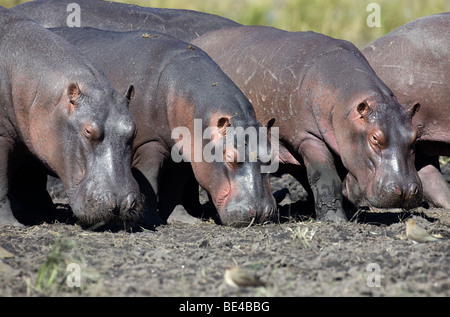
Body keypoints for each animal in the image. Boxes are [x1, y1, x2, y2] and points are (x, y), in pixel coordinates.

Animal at [51, 26, 278, 225]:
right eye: (230, 157)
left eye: (271, 156)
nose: (260, 212)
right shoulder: (148, 145)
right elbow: (150, 181)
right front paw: (150, 219)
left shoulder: (185, 153)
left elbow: (174, 187)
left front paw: (185, 219)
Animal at [192, 26, 424, 220]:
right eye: (375, 138)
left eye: (415, 135)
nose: (405, 190)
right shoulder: (307, 138)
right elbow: (326, 177)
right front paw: (334, 220)